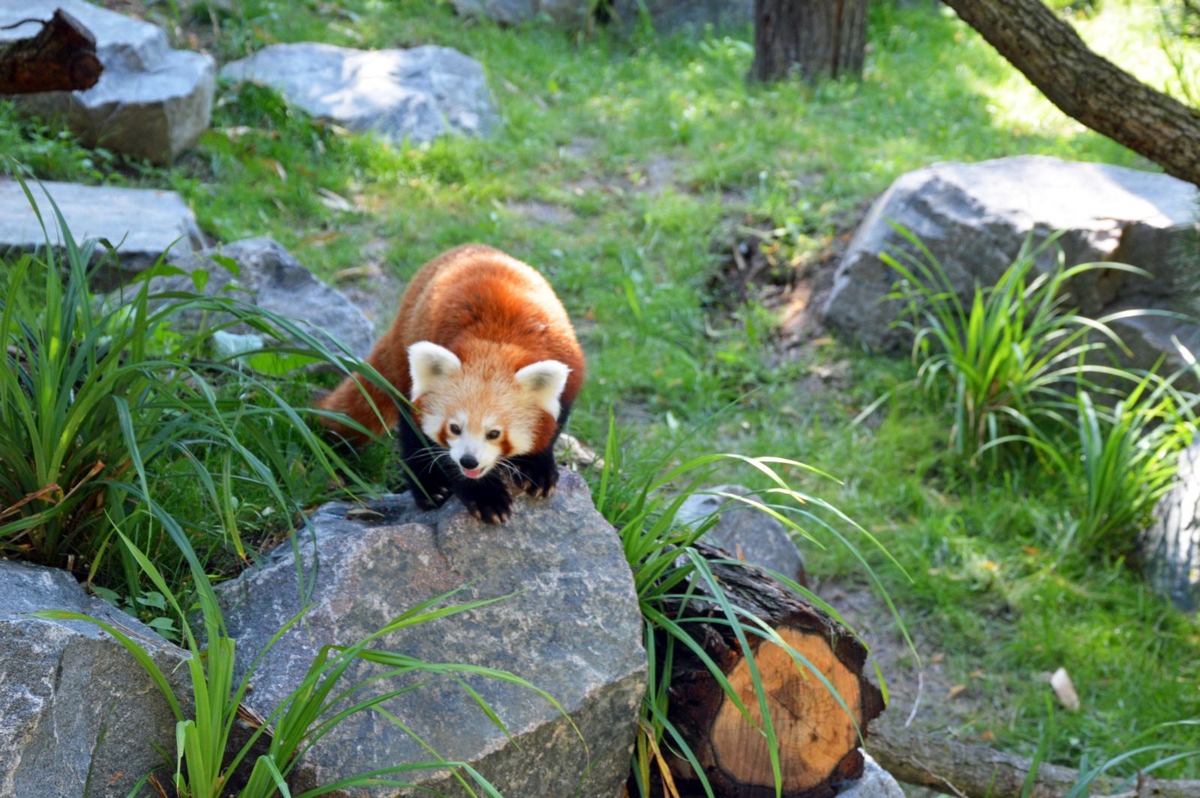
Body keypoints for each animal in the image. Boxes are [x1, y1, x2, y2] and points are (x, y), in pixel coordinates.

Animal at [316, 244, 583, 523]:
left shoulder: (567, 364)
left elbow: (554, 424)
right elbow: (436, 448)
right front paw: (485, 496)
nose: (469, 461)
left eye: (494, 433)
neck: (497, 338)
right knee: (412, 433)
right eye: (454, 428)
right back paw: (429, 488)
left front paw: (538, 467)